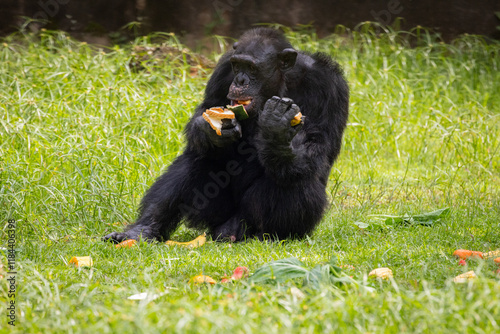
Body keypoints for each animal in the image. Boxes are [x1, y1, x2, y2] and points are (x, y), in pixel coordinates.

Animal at [102, 28, 348, 243]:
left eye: (252, 68)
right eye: (237, 65)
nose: (240, 81)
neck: (280, 82)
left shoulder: (328, 84)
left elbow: (316, 142)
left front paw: (276, 130)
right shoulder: (223, 70)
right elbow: (208, 106)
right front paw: (207, 127)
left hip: (247, 221)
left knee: (295, 178)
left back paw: (268, 236)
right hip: (214, 213)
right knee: (196, 159)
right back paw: (141, 230)